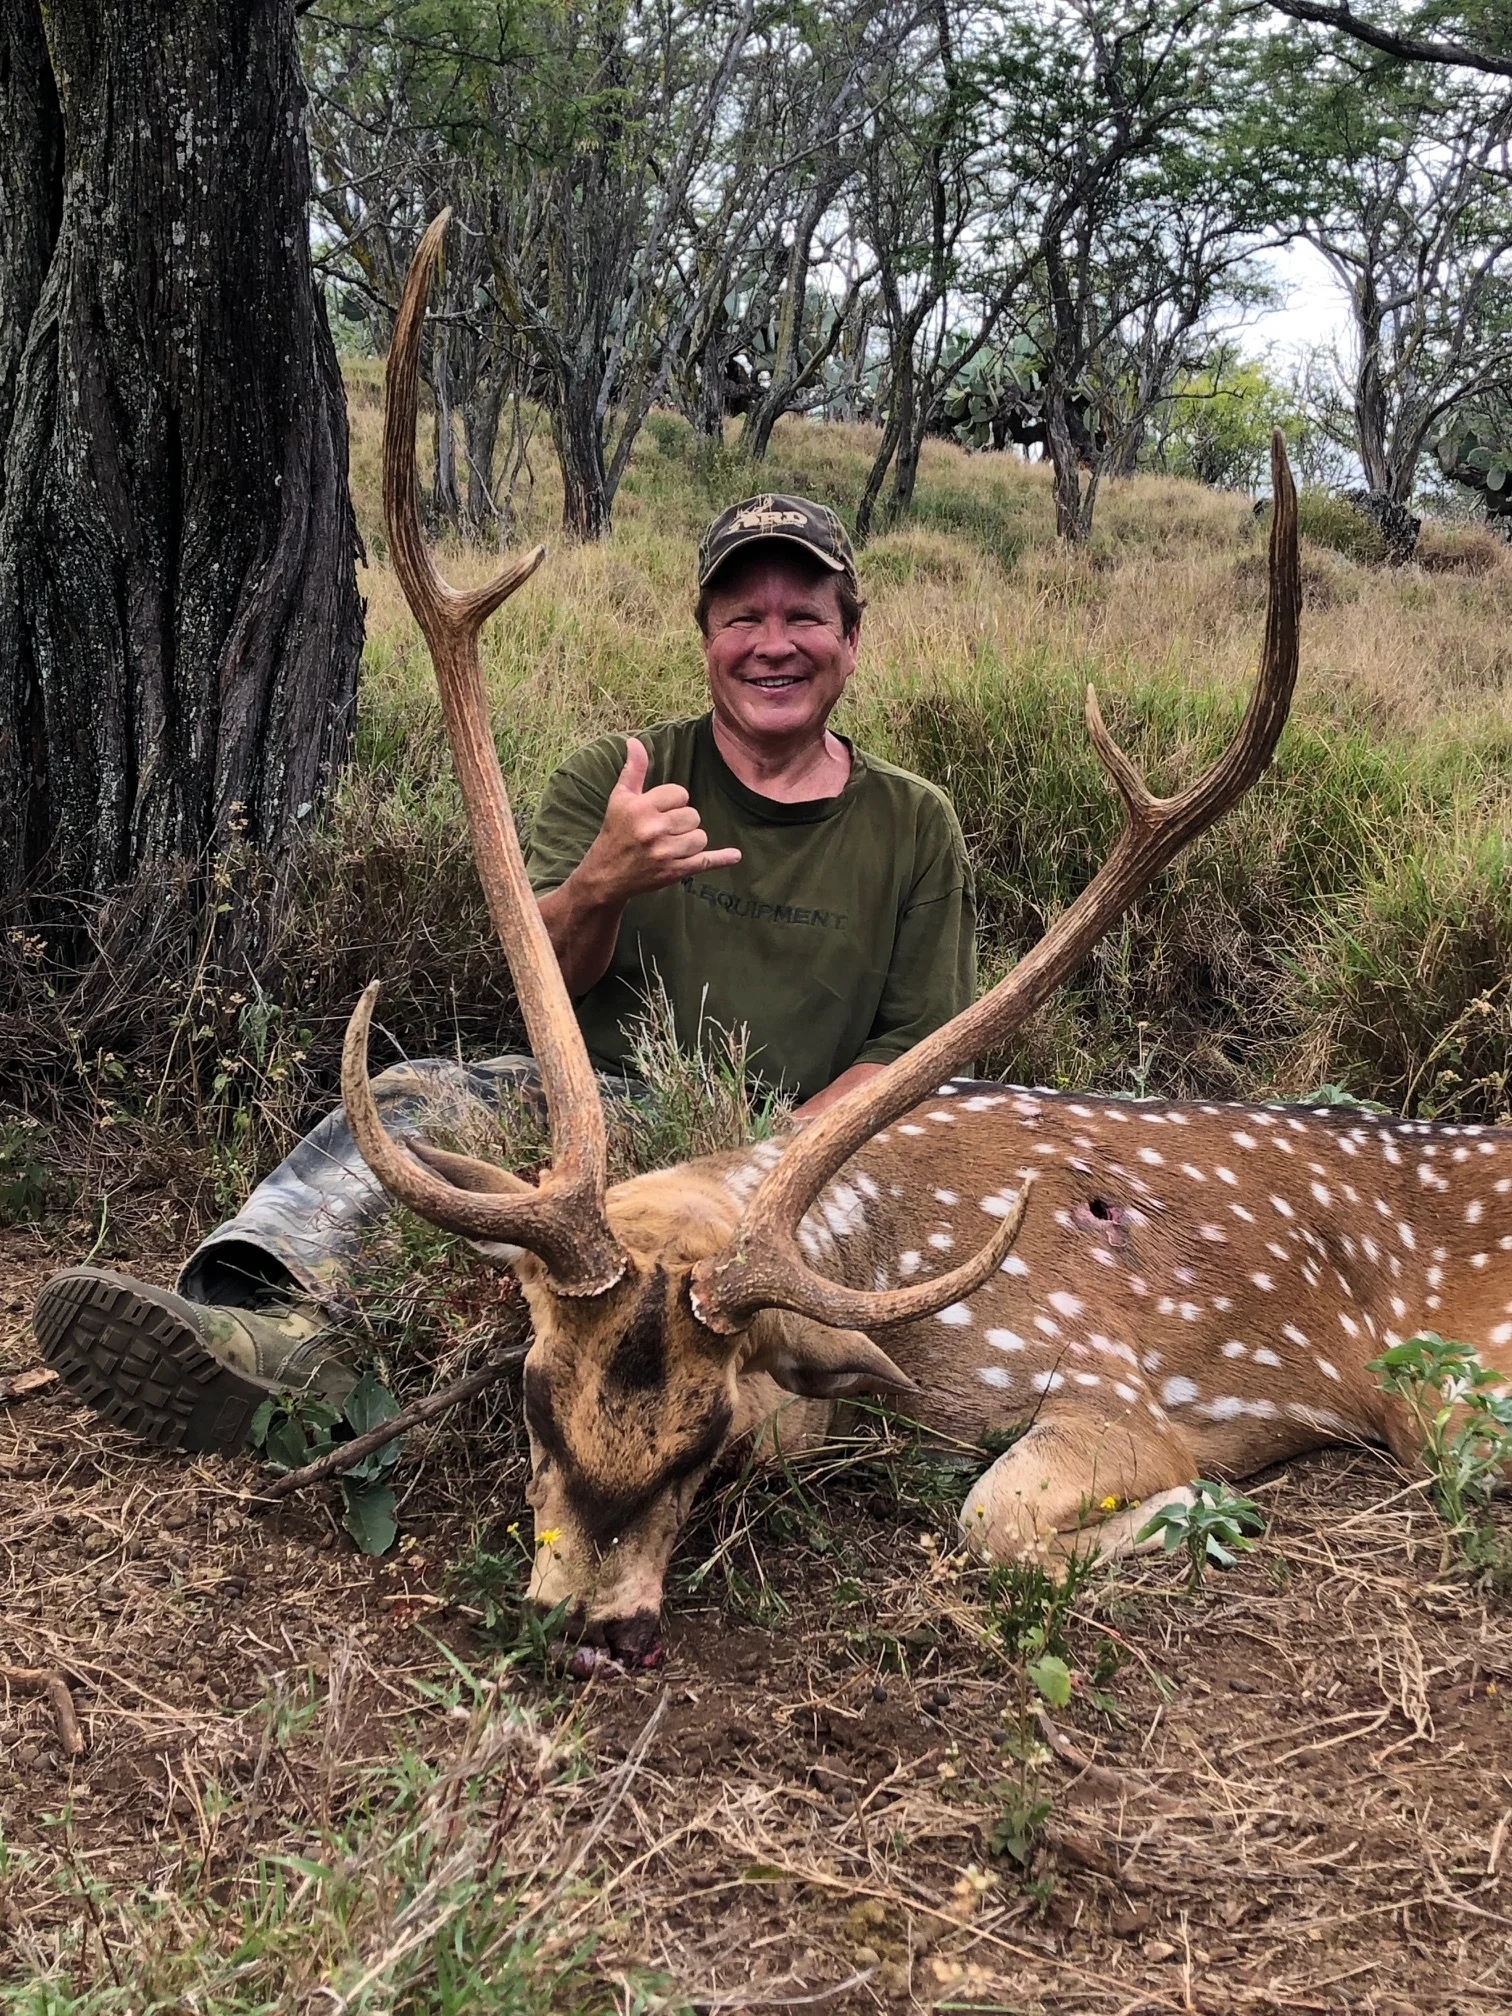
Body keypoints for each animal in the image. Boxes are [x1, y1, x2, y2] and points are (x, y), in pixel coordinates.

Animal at [343, 215, 1512, 1673]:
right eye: (530, 1389)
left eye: (706, 1437)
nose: (595, 1629)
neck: (899, 1278)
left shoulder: (1111, 1377)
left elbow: (992, 1517)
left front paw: (1201, 1514)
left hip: (1466, 1404)